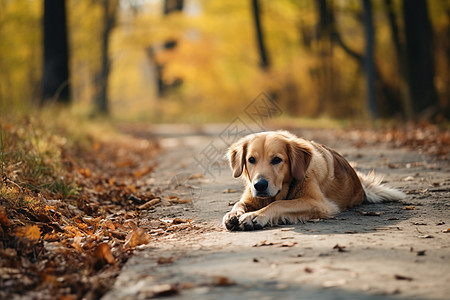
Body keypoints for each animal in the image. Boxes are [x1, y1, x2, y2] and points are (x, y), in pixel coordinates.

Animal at [223, 130, 406, 231]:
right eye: (251, 160)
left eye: (276, 160)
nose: (259, 185)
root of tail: (360, 186)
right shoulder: (250, 197)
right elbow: (238, 203)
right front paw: (233, 215)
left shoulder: (318, 203)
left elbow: (278, 204)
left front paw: (255, 216)